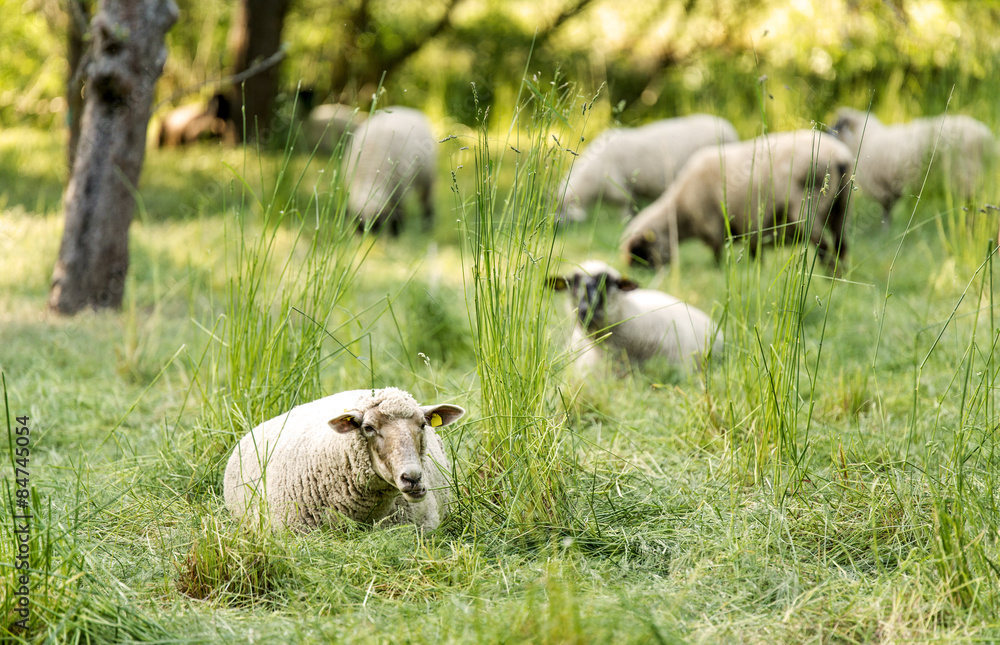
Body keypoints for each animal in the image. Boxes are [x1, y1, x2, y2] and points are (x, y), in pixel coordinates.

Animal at [344, 105, 437, 235]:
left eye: (377, 225)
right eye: (360, 227)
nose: (368, 238)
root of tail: (405, 108)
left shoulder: (400, 191)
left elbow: (399, 213)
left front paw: (397, 232)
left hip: (427, 181)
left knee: (427, 203)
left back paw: (427, 225)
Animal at [555, 114, 739, 222]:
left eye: (563, 210)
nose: (556, 222)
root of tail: (729, 129)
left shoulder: (617, 185)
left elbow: (626, 204)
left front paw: (626, 220)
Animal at [621, 129, 854, 274]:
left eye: (640, 251)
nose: (639, 274)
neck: (681, 211)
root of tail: (839, 156)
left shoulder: (714, 225)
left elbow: (718, 253)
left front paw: (719, 271)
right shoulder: (750, 228)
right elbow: (754, 252)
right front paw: (757, 270)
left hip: (806, 205)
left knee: (822, 244)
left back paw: (829, 275)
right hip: (841, 207)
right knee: (841, 244)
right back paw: (839, 275)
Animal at [830, 107, 994, 224]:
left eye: (837, 126)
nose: (826, 133)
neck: (863, 138)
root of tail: (985, 136)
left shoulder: (881, 186)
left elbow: (885, 211)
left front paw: (885, 232)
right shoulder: (889, 186)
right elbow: (888, 210)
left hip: (966, 174)